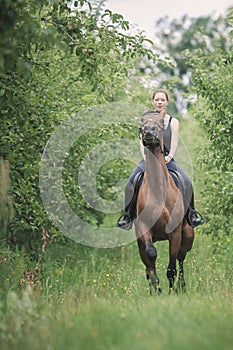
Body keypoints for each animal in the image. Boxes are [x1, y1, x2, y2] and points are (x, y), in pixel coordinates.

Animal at [135, 110, 195, 294]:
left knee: (181, 259)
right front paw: (157, 288)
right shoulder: (143, 228)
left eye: (161, 123)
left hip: (188, 235)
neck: (158, 192)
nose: (149, 131)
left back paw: (182, 287)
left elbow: (172, 267)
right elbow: (151, 255)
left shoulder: (175, 234)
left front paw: (170, 291)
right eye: (142, 123)